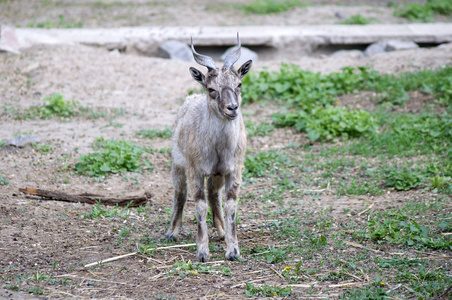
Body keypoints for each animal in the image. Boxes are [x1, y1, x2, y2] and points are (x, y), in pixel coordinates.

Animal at [166, 34, 252, 262]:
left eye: (239, 84)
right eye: (211, 88)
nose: (232, 108)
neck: (218, 149)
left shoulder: (233, 170)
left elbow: (230, 205)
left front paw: (232, 250)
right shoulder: (195, 170)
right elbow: (199, 206)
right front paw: (203, 252)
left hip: (216, 174)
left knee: (214, 194)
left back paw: (221, 231)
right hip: (178, 165)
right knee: (180, 193)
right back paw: (172, 232)